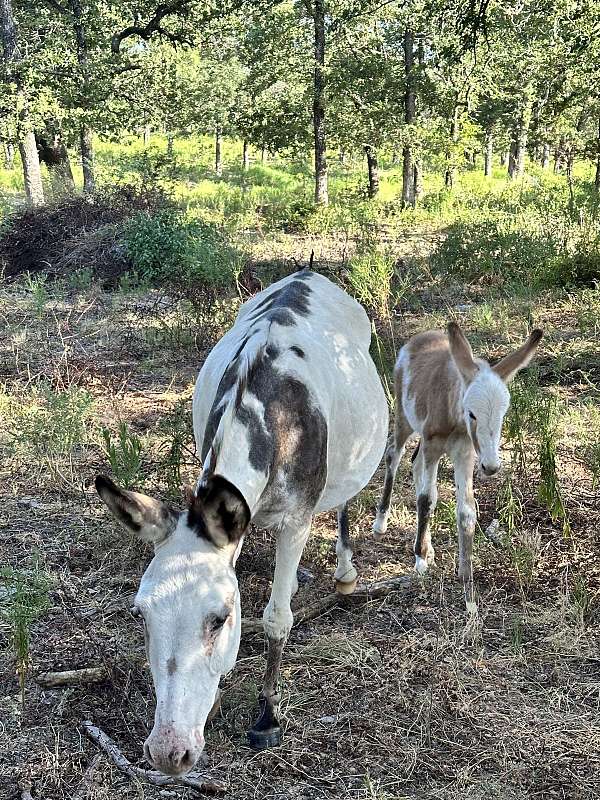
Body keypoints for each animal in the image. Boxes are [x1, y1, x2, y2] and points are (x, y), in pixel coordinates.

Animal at [372, 322, 540, 584]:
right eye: (472, 413)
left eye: (503, 414)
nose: (491, 467)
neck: (454, 416)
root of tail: (420, 337)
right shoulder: (433, 445)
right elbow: (426, 500)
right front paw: (420, 559)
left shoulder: (465, 453)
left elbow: (467, 509)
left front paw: (465, 570)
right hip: (404, 418)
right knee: (394, 454)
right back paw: (381, 524)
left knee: (415, 462)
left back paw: (430, 549)